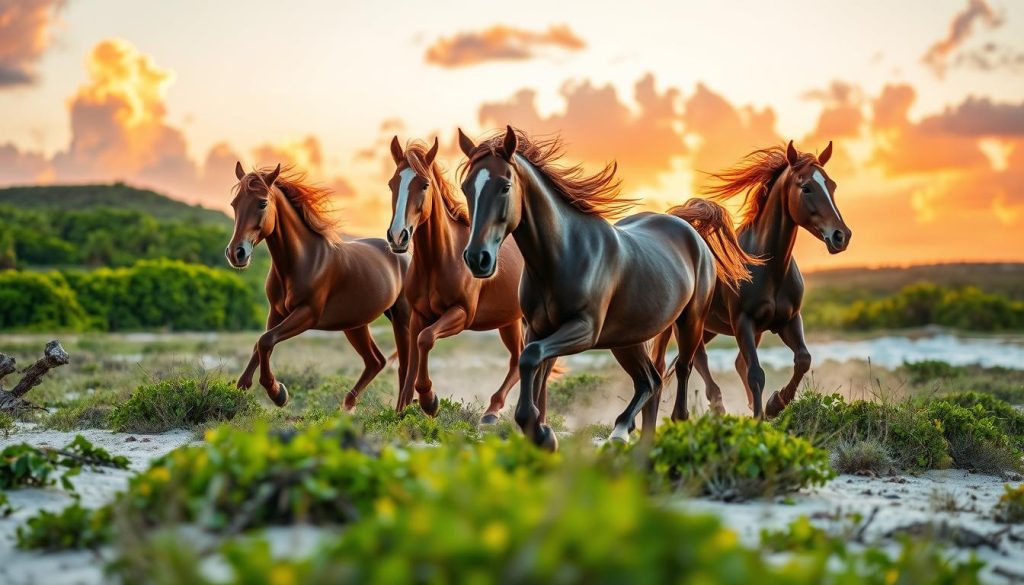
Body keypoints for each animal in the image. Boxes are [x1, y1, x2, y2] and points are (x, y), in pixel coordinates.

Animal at [225, 162, 411, 409]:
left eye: (262, 203)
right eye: (234, 204)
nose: (236, 253)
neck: (302, 261)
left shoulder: (307, 314)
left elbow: (265, 341)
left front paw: (277, 393)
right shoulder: (276, 312)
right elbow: (261, 344)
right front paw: (243, 387)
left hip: (401, 319)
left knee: (405, 366)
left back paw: (402, 410)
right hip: (355, 324)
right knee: (376, 361)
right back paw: (347, 406)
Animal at [385, 136, 528, 421]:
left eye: (424, 184)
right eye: (392, 183)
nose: (397, 236)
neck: (439, 260)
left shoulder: (460, 314)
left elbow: (426, 339)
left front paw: (429, 400)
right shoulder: (418, 316)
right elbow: (413, 359)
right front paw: (403, 408)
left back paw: (493, 411)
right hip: (509, 320)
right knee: (518, 359)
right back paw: (494, 411)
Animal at [458, 126, 755, 450]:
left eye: (504, 186)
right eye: (466, 187)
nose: (477, 258)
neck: (563, 254)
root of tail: (689, 229)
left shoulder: (584, 329)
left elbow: (531, 358)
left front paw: (539, 431)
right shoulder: (538, 329)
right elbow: (534, 367)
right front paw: (540, 431)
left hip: (689, 324)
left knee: (681, 371)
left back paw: (650, 428)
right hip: (629, 339)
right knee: (650, 380)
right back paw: (630, 434)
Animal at [652, 141, 851, 418]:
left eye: (832, 185)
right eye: (806, 187)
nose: (841, 236)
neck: (768, 268)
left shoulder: (789, 320)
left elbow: (803, 359)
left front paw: (774, 404)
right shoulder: (743, 321)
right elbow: (756, 373)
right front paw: (760, 416)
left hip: (710, 327)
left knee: (711, 360)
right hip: (683, 324)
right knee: (680, 362)